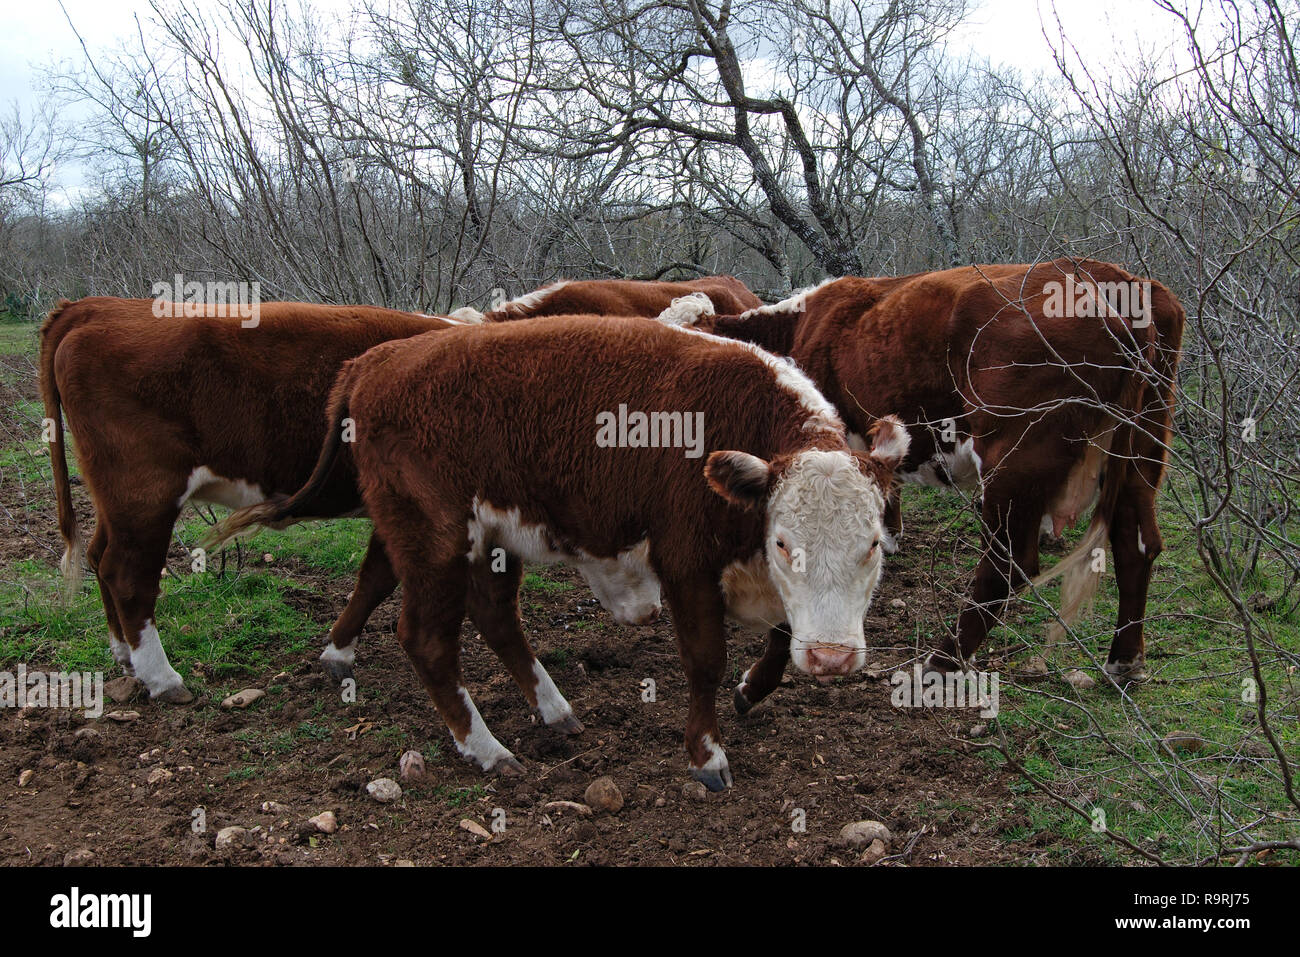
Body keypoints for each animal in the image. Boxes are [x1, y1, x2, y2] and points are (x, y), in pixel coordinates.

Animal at [205, 317, 915, 790]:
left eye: (873, 545)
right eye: (783, 541)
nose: (832, 660)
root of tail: (378, 359)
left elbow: (777, 637)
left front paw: (753, 691)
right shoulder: (686, 563)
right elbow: (705, 660)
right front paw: (707, 755)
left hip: (486, 536)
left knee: (491, 616)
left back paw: (553, 709)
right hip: (433, 535)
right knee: (426, 639)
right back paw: (486, 747)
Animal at [660, 257, 1190, 686]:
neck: (804, 323)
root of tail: (1117, 281)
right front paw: (891, 534)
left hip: (1017, 460)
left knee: (1007, 565)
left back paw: (944, 659)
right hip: (1142, 450)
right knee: (1137, 543)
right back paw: (1124, 660)